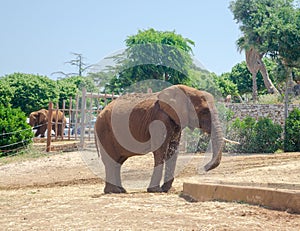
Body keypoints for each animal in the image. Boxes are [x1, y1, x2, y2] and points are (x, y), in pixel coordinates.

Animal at [95, 84, 226, 193]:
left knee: (117, 162)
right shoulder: (159, 119)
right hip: (104, 130)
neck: (186, 90)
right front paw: (155, 190)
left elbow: (173, 150)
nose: (202, 168)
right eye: (204, 111)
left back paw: (121, 190)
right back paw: (113, 191)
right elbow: (161, 149)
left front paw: (167, 190)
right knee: (111, 160)